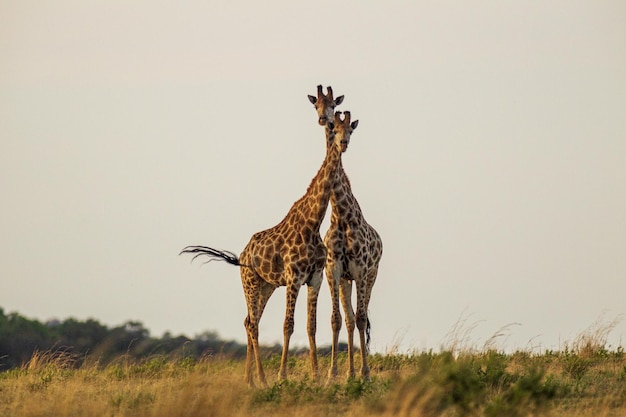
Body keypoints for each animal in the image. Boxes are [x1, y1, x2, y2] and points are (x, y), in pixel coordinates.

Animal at [180, 102, 356, 386]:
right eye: (334, 126)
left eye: (349, 129)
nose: (343, 143)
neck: (313, 222)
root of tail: (241, 256)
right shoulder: (294, 277)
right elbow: (288, 324)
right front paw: (283, 376)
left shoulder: (315, 277)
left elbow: (311, 325)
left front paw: (317, 376)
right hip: (250, 282)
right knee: (253, 324)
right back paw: (262, 379)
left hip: (266, 286)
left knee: (248, 321)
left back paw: (250, 379)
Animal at [306, 88, 380, 380]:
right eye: (316, 104)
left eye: (350, 128)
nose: (343, 142)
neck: (341, 216)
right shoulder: (334, 269)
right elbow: (337, 320)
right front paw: (333, 373)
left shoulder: (360, 270)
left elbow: (360, 319)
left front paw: (364, 373)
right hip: (346, 281)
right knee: (349, 319)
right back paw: (349, 370)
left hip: (370, 276)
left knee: (362, 317)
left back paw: (360, 370)